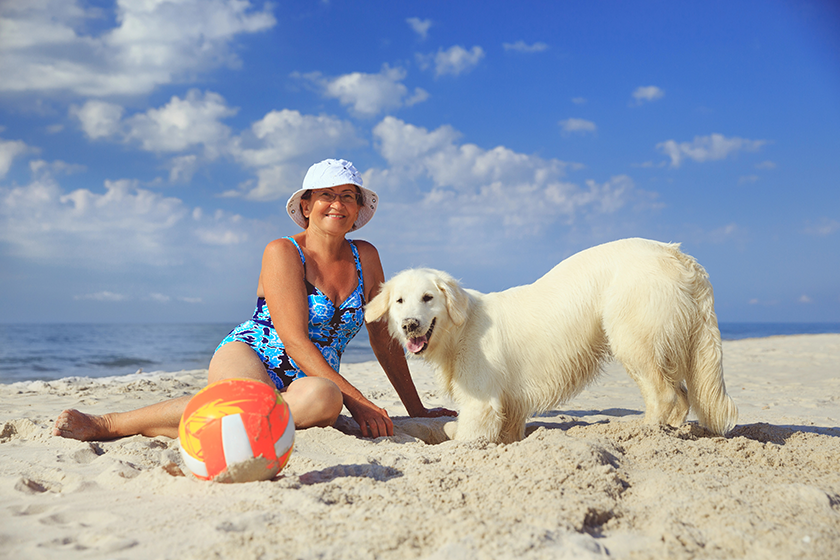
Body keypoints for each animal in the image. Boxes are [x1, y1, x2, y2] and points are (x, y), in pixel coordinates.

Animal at [364, 238, 740, 444]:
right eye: (400, 301)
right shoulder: (510, 400)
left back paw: (641, 431)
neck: (461, 328)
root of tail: (678, 255)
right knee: (682, 394)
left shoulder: (481, 400)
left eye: (428, 297)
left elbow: (467, 431)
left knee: (665, 394)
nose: (410, 325)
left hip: (631, 335)